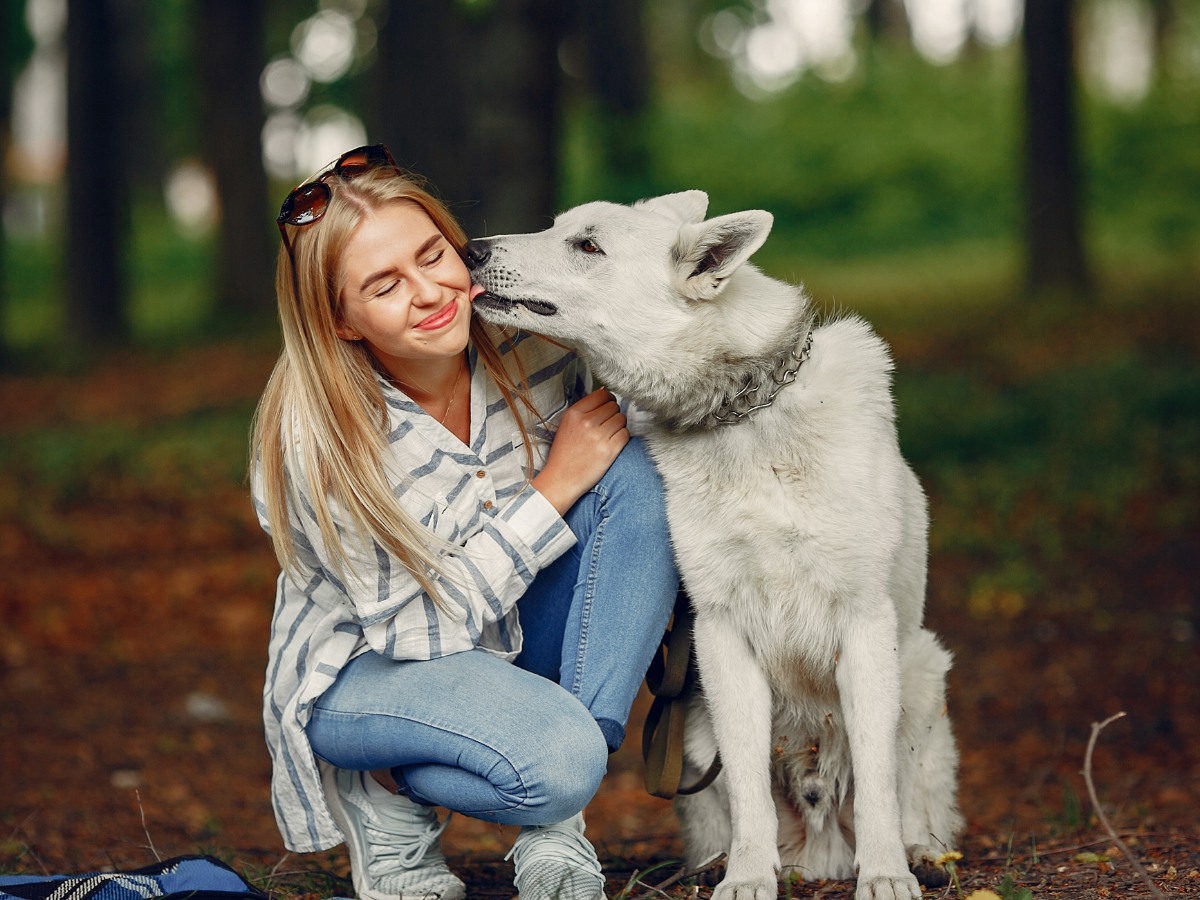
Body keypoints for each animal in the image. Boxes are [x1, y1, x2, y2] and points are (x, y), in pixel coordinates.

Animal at [468, 194, 964, 900]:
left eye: (587, 246)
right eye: (557, 227)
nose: (472, 250)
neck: (745, 416)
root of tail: (822, 850)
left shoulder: (865, 624)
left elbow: (876, 784)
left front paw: (886, 876)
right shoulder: (721, 631)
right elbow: (751, 786)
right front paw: (750, 877)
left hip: (919, 672)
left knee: (912, 797)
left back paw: (918, 855)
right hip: (699, 725)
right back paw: (719, 866)